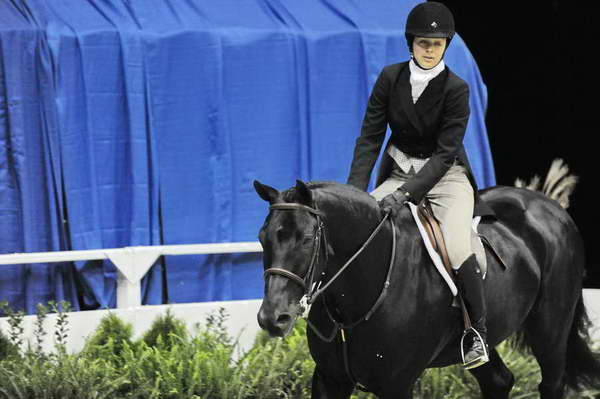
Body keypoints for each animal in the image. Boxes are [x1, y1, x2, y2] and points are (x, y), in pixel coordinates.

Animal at [254, 180, 600, 399]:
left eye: (305, 239)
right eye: (262, 237)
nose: (273, 318)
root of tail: (552, 208)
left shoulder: (396, 385)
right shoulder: (329, 379)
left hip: (550, 331)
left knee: (551, 384)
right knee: (499, 382)